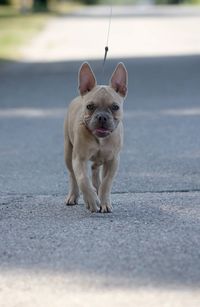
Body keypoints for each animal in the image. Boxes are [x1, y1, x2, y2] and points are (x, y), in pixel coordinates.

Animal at [64, 61, 128, 213]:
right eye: (90, 106)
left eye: (115, 107)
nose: (102, 117)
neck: (100, 139)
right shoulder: (79, 159)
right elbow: (82, 179)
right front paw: (91, 200)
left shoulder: (113, 161)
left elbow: (106, 183)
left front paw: (104, 202)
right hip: (68, 153)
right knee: (73, 175)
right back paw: (74, 196)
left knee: (95, 168)